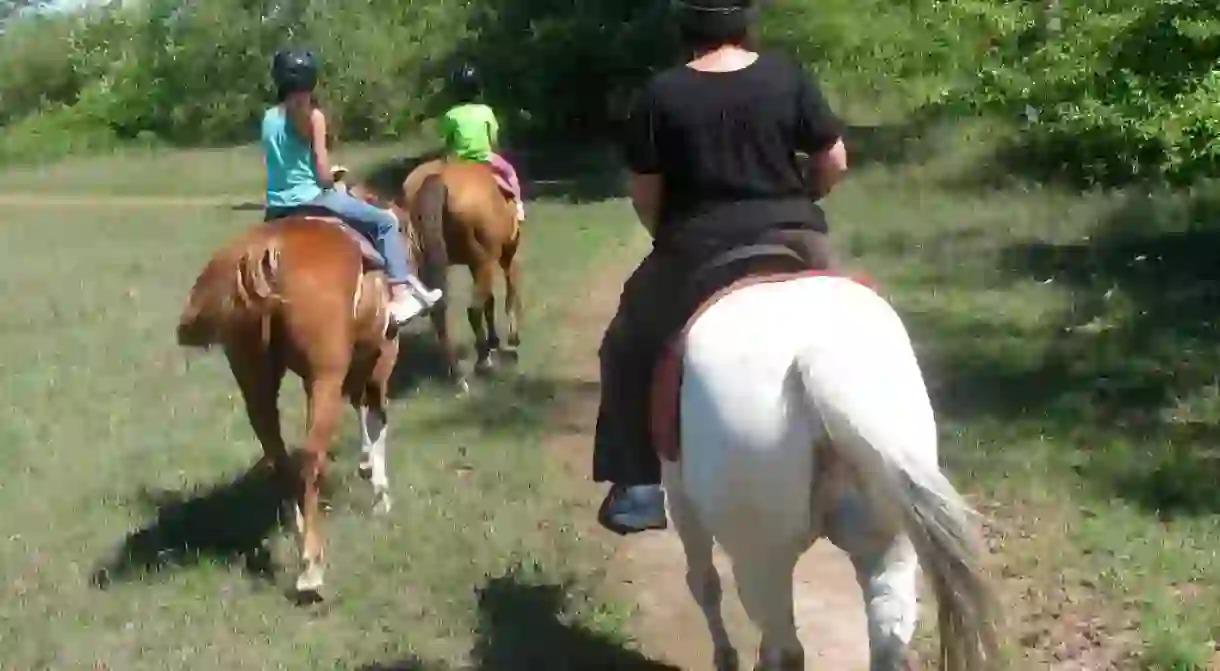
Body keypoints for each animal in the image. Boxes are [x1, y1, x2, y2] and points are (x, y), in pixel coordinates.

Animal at [176, 207, 412, 597]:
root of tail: (263, 252)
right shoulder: (381, 359)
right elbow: (376, 418)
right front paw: (380, 492)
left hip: (255, 381)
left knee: (279, 456)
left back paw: (300, 528)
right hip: (325, 378)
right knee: (311, 456)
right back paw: (311, 568)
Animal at [658, 274, 1000, 671]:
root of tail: (817, 359)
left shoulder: (681, 504)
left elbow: (704, 584)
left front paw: (726, 657)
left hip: (759, 561)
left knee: (785, 646)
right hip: (891, 540)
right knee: (886, 636)